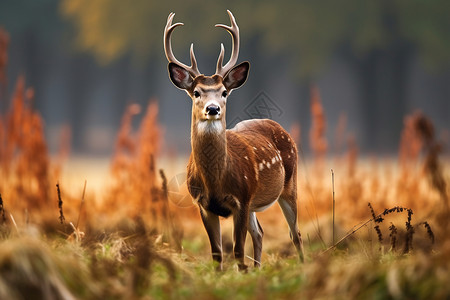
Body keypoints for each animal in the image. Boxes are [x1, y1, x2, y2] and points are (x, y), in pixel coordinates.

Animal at [163, 10, 304, 270]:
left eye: (224, 92)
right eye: (196, 92)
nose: (212, 108)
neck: (215, 182)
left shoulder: (242, 199)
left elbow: (238, 250)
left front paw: (243, 274)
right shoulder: (203, 204)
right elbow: (217, 252)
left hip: (289, 185)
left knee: (295, 233)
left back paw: (302, 265)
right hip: (255, 204)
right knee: (260, 233)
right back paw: (259, 269)